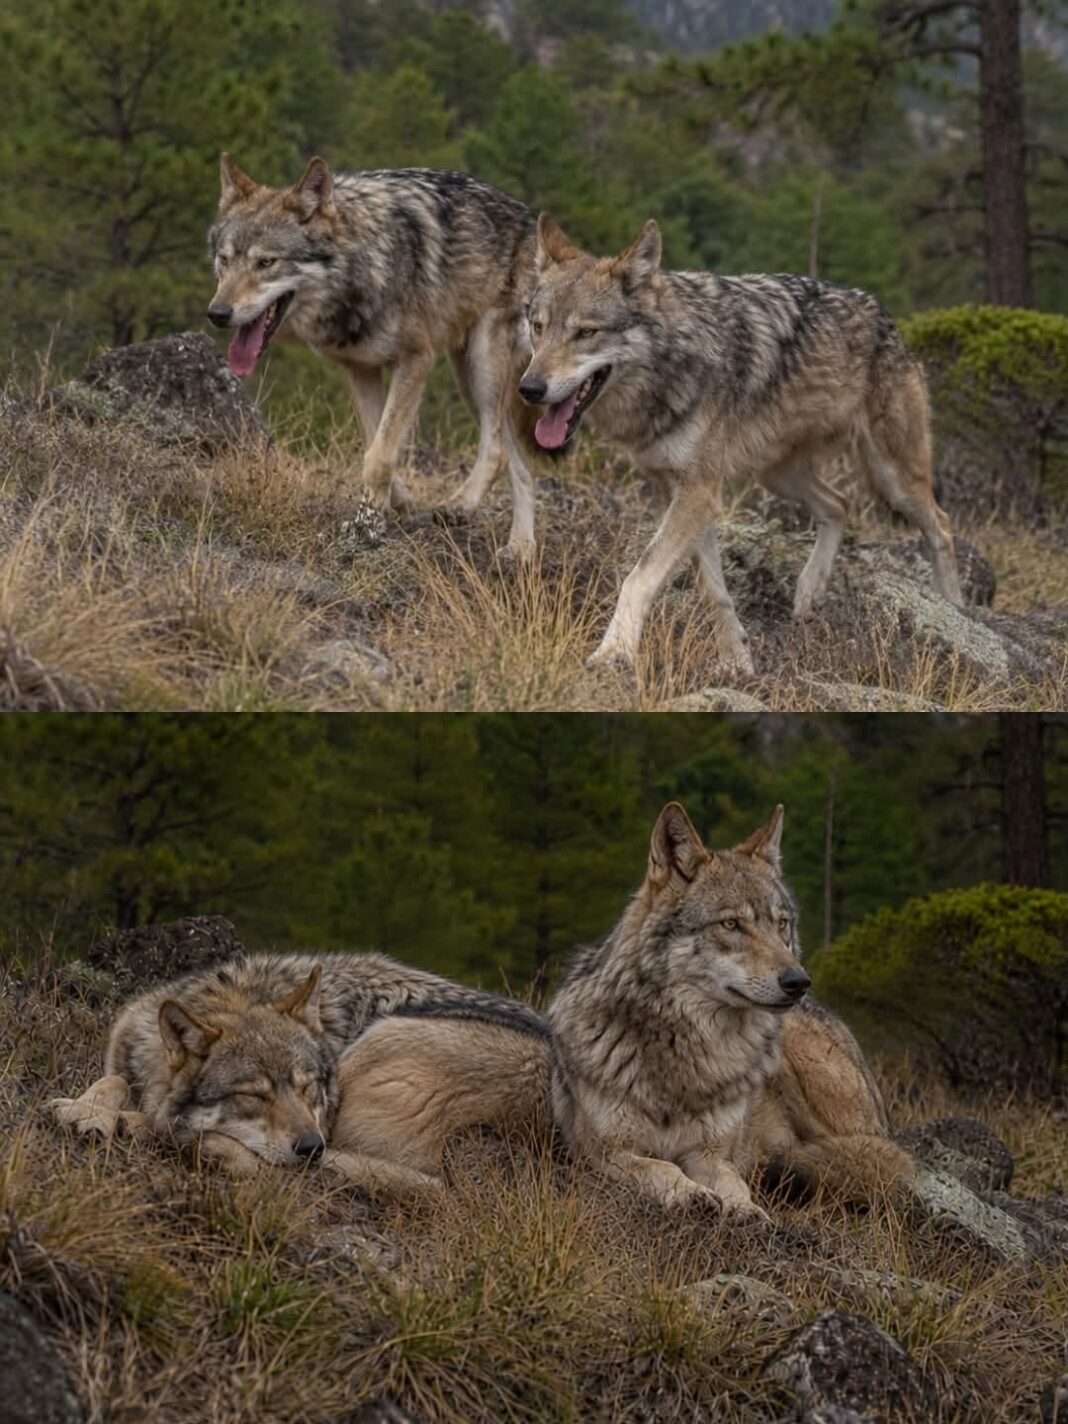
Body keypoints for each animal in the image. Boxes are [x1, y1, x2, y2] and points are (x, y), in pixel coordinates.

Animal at [207, 155, 540, 556]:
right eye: (224, 260)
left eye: (266, 263)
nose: (217, 314)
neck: (363, 266)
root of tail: (531, 220)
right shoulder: (358, 368)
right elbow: (376, 442)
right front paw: (397, 503)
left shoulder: (416, 360)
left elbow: (379, 456)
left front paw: (364, 528)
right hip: (470, 379)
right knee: (519, 460)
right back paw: (521, 548)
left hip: (484, 364)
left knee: (497, 450)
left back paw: (466, 510)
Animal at [519, 216, 963, 674]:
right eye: (538, 326)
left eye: (585, 333)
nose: (529, 388)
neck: (671, 366)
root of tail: (886, 317)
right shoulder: (679, 491)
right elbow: (712, 589)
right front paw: (736, 659)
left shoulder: (699, 491)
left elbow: (639, 576)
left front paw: (614, 652)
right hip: (778, 475)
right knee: (840, 504)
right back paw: (809, 590)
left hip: (894, 477)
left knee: (941, 524)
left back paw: (957, 615)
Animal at [546, 802, 911, 1217]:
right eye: (732, 924)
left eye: (782, 924)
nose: (799, 982)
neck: (685, 1051)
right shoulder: (603, 1152)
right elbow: (661, 1167)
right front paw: (690, 1194)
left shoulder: (712, 1154)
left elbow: (733, 1183)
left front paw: (746, 1210)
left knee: (869, 1160)